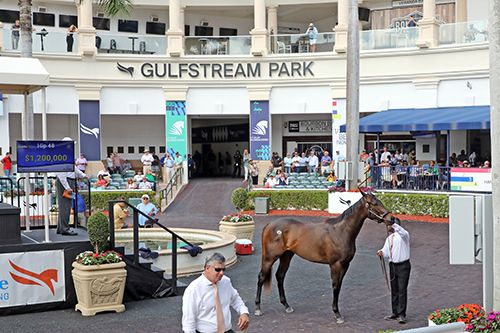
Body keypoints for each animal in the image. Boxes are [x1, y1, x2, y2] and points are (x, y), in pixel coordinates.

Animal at [254, 189, 398, 322]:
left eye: (379, 201)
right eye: (374, 203)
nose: (391, 219)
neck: (341, 231)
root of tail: (269, 225)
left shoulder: (345, 265)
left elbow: (339, 286)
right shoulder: (335, 265)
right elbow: (335, 286)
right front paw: (337, 314)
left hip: (286, 256)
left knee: (280, 276)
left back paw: (286, 306)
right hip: (269, 258)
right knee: (261, 277)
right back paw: (257, 308)